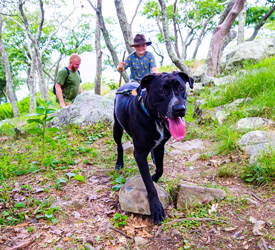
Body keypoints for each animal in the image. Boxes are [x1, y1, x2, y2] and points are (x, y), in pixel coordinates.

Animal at [113, 71, 195, 224]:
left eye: (181, 88)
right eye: (162, 91)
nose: (179, 109)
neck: (155, 120)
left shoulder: (160, 146)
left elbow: (160, 169)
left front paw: (155, 177)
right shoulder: (139, 154)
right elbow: (148, 184)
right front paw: (156, 207)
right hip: (117, 127)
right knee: (119, 146)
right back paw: (119, 163)